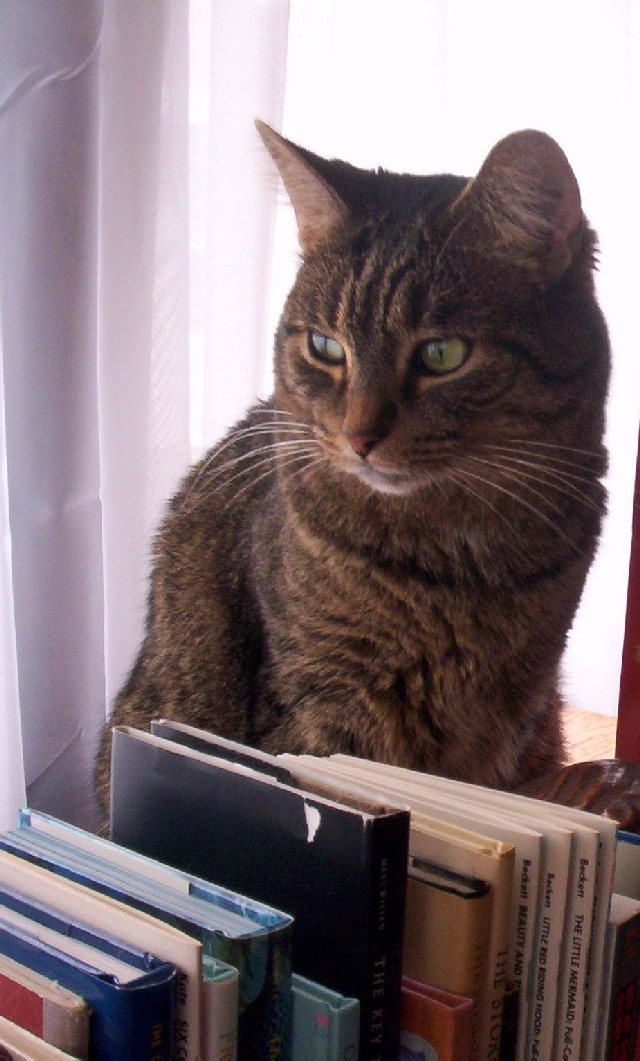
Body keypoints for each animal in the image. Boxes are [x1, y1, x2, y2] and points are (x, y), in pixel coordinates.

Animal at [94, 122, 611, 810]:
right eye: (325, 347)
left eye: (443, 354)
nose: (360, 435)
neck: (455, 564)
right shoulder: (323, 706)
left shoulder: (519, 711)